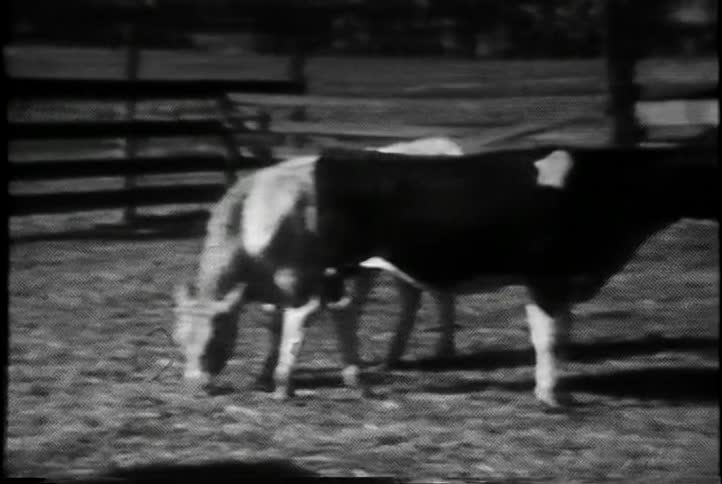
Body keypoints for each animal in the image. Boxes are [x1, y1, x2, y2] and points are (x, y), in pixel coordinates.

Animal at [172, 137, 463, 395]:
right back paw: (392, 359)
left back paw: (444, 351)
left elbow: (301, 324)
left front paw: (285, 380)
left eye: (213, 338)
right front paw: (264, 375)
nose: (193, 386)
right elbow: (275, 325)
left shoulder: (305, 282)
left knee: (443, 296)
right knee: (411, 299)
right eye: (179, 339)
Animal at [311, 143, 717, 406]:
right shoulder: (545, 275)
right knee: (341, 312)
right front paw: (550, 396)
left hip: (359, 267)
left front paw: (558, 387)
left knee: (347, 311)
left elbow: (561, 333)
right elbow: (548, 336)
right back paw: (357, 378)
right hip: (341, 262)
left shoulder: (564, 279)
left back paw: (361, 375)